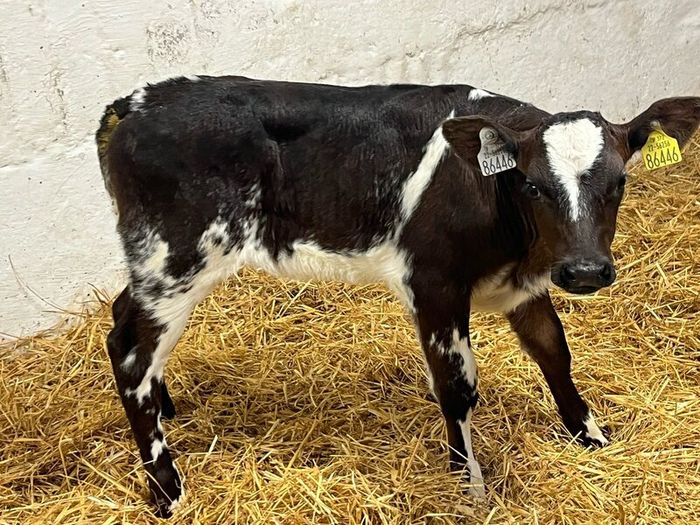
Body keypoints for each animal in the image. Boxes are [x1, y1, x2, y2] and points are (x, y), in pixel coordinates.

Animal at [96, 75, 700, 516]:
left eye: (620, 182)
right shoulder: (432, 282)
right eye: (533, 185)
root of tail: (139, 103)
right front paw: (469, 485)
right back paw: (167, 490)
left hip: (157, 263)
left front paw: (591, 437)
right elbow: (457, 387)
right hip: (177, 257)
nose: (584, 271)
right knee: (130, 350)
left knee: (124, 316)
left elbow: (554, 352)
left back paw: (167, 409)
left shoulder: (522, 285)